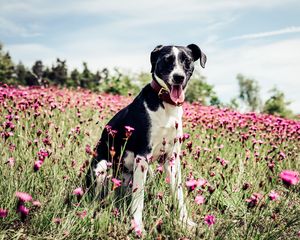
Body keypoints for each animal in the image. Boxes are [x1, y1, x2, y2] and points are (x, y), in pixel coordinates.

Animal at [86, 43, 206, 232]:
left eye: (187, 61)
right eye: (167, 60)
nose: (178, 77)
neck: (166, 105)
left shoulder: (172, 158)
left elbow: (178, 193)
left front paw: (185, 222)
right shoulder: (142, 155)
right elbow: (139, 198)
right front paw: (137, 226)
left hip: (146, 172)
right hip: (102, 168)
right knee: (97, 197)